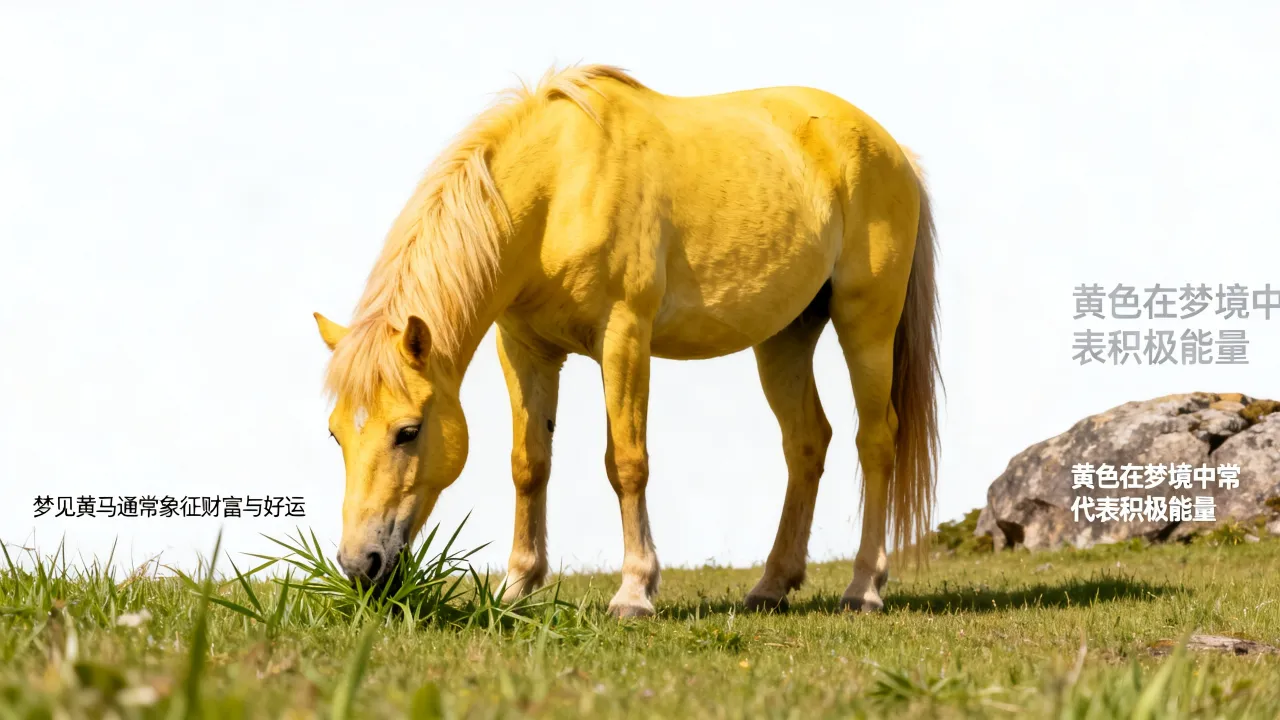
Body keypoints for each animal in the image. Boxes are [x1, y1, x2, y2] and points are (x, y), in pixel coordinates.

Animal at [313, 65, 939, 618]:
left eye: (408, 431)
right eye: (336, 434)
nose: (360, 565)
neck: (559, 188)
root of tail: (894, 150)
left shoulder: (623, 339)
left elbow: (627, 462)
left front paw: (635, 591)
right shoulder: (523, 349)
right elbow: (528, 464)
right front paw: (517, 587)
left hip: (866, 325)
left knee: (875, 441)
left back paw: (864, 587)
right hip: (784, 337)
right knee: (807, 443)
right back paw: (771, 585)